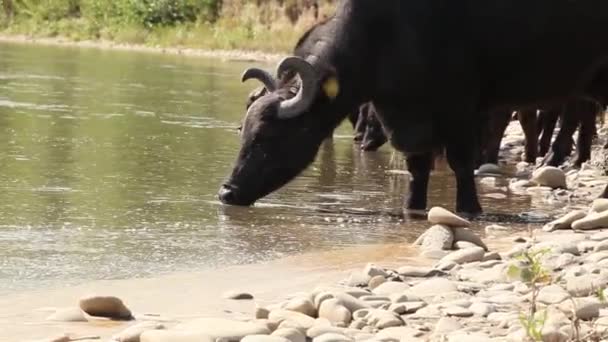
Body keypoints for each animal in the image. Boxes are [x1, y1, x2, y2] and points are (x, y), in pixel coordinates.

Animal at [218, 0, 608, 214]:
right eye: (243, 133)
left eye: (269, 137)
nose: (227, 192)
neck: (387, 33)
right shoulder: (403, 113)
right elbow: (417, 166)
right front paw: (412, 207)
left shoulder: (461, 109)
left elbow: (461, 162)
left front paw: (470, 207)